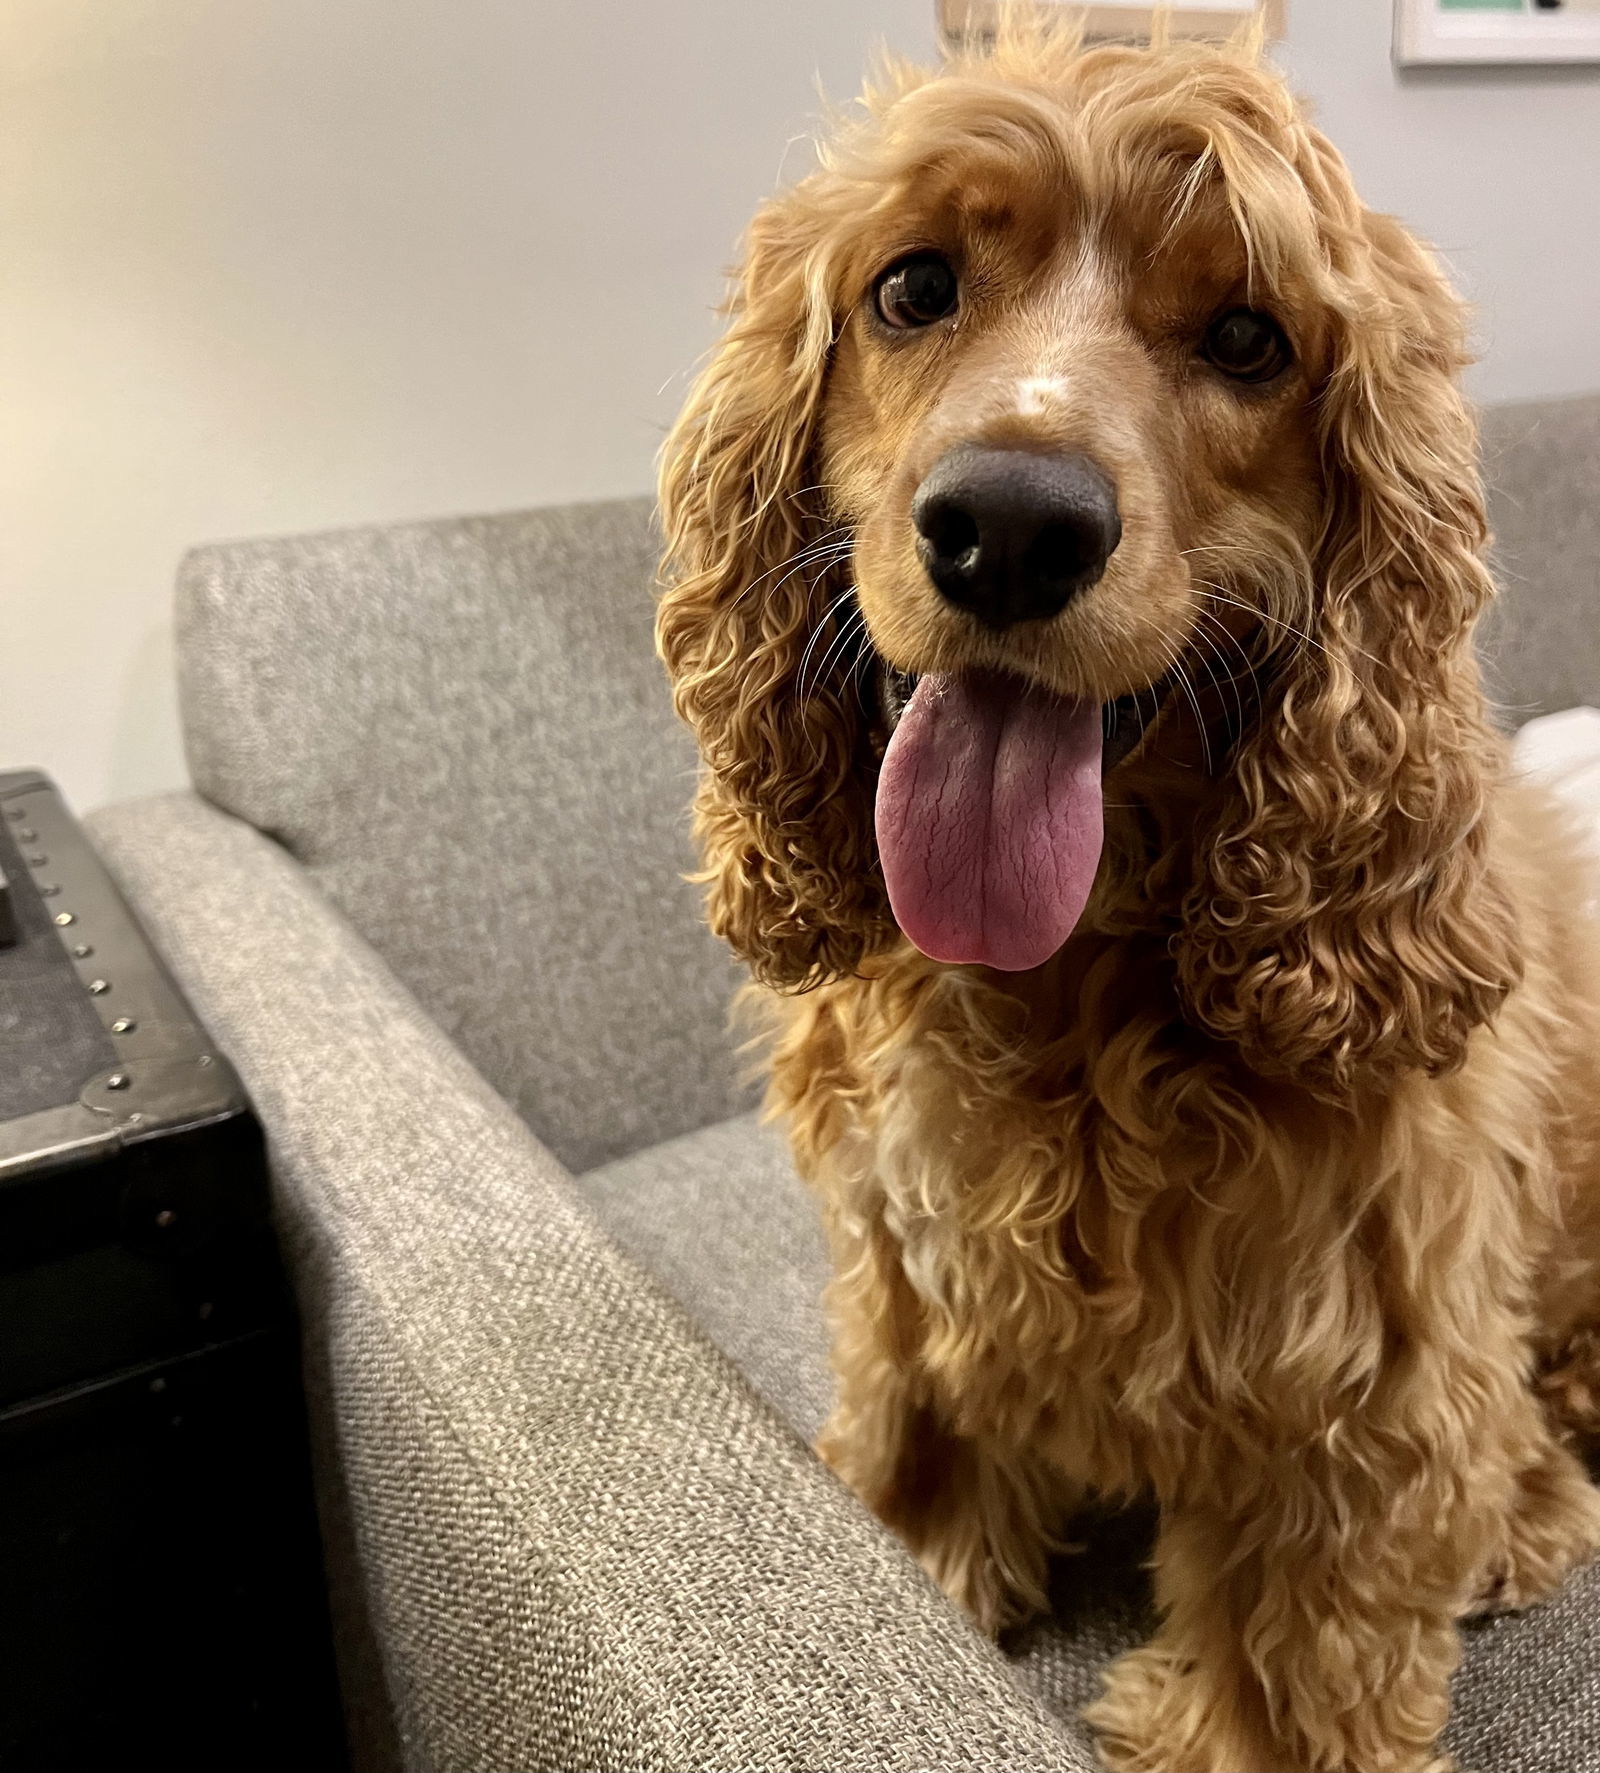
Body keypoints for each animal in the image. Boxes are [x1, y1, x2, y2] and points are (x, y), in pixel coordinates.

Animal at [656, 17, 1600, 1773]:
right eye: (913, 287)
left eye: (1247, 337)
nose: (1010, 526)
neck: (1068, 987)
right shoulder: (906, 1256)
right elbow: (916, 1439)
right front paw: (920, 1567)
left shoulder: (1352, 1377)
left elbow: (1303, 1662)